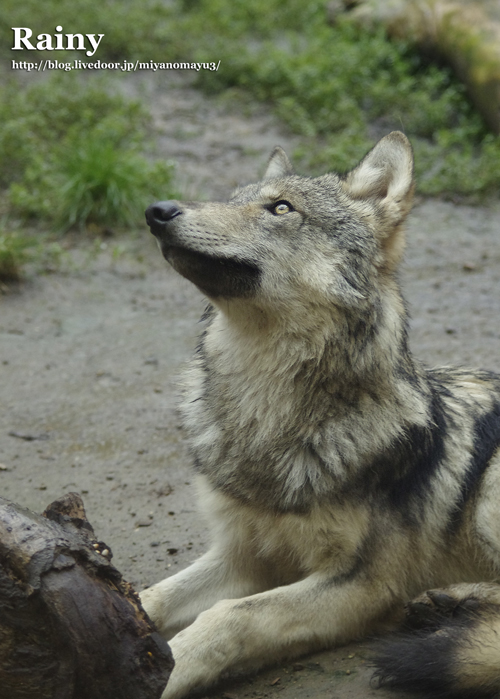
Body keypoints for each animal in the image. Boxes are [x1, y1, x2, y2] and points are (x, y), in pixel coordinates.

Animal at [143, 133, 500, 699]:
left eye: (280, 209)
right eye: (230, 198)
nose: (157, 211)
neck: (268, 419)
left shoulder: (361, 582)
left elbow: (232, 617)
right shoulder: (241, 554)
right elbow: (149, 598)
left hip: (489, 497)